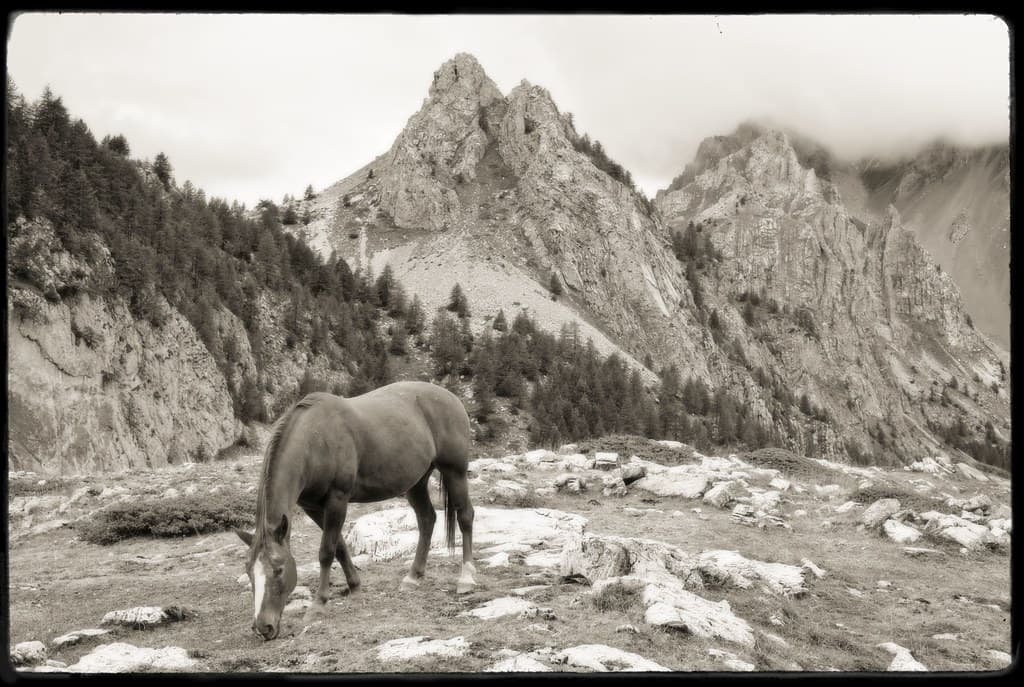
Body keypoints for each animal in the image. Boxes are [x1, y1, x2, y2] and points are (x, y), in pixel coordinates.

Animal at [233, 381, 477, 640]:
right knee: (427, 519)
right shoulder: (312, 507)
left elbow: (326, 551)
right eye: (249, 571)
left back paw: (466, 578)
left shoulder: (337, 499)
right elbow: (339, 546)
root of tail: (450, 396)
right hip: (416, 482)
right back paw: (413, 577)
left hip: (454, 471)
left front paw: (318, 604)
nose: (263, 627)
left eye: (278, 569)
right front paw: (354, 586)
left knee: (465, 517)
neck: (314, 441)